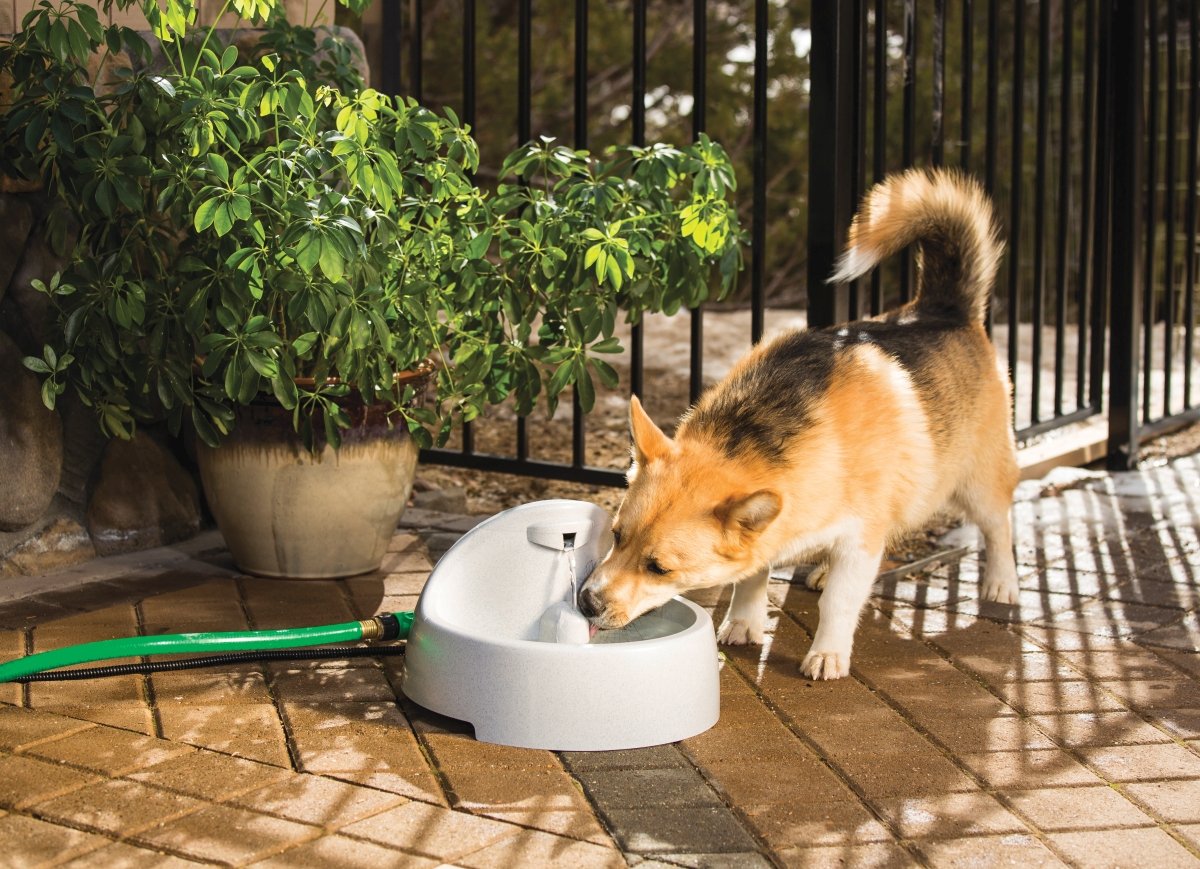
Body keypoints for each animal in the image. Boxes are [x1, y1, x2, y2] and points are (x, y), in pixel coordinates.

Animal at [580, 164, 1022, 676]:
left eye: (659, 568)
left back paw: (1001, 584)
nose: (586, 603)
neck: (765, 431)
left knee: (999, 528)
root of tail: (942, 309)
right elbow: (752, 578)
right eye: (616, 536)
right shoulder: (771, 535)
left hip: (978, 484)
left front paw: (828, 653)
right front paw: (744, 623)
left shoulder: (860, 538)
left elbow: (840, 602)